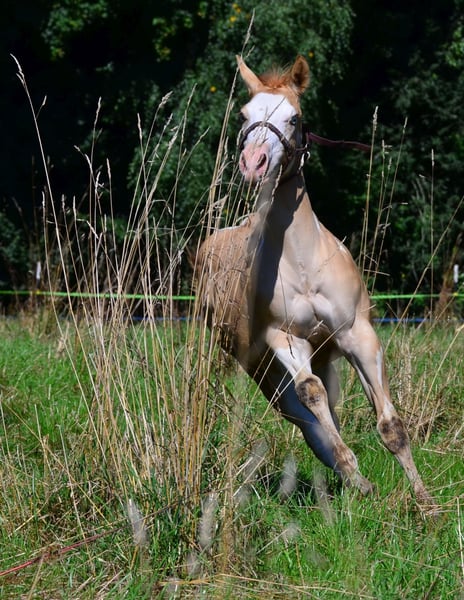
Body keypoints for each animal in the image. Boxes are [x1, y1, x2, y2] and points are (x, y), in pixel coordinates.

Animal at [196, 54, 433, 509]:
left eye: (294, 118)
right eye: (244, 115)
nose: (254, 162)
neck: (301, 262)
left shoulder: (359, 335)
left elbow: (391, 428)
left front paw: (426, 504)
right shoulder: (283, 339)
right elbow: (312, 399)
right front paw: (355, 474)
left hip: (326, 354)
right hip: (263, 370)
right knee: (309, 421)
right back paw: (354, 481)